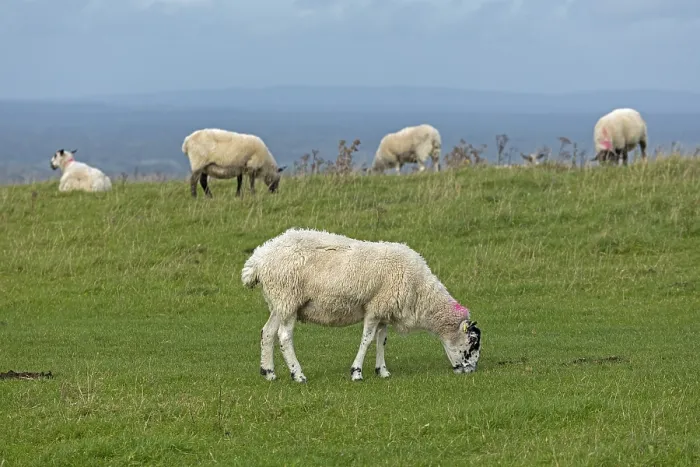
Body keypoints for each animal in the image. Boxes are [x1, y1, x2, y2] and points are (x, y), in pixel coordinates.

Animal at [241, 227, 482, 383]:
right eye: (473, 343)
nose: (472, 370)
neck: (419, 291)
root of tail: (258, 259)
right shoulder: (375, 308)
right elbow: (366, 339)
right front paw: (356, 372)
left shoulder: (385, 310)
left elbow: (381, 340)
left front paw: (382, 371)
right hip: (288, 298)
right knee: (284, 337)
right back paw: (297, 375)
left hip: (279, 303)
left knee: (267, 333)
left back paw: (269, 373)